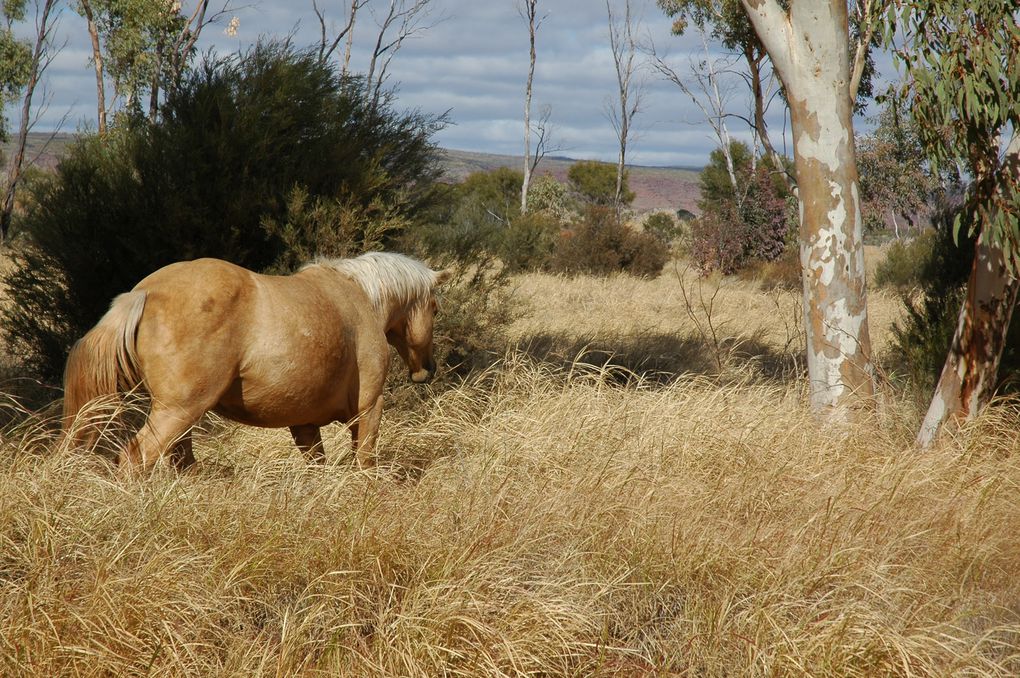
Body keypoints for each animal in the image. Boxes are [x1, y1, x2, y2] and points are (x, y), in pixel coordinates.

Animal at [60, 250, 450, 468]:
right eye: (434, 307)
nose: (426, 370)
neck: (360, 298)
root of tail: (143, 293)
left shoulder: (304, 424)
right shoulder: (369, 408)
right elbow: (365, 464)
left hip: (182, 418)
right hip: (177, 412)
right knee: (136, 459)